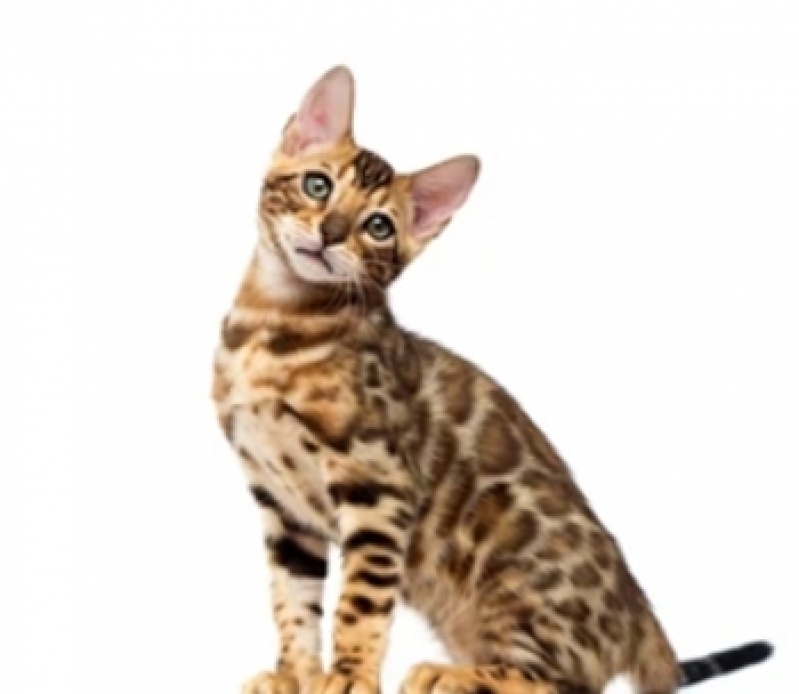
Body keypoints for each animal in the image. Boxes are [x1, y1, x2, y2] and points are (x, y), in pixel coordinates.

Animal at [212, 66, 773, 694]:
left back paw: (449, 674)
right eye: (317, 185)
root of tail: (637, 610)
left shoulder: (376, 483)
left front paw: (350, 675)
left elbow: (359, 599)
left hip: (514, 575)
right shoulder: (282, 507)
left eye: (378, 226)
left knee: (562, 681)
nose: (330, 232)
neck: (273, 326)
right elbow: (293, 600)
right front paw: (294, 672)